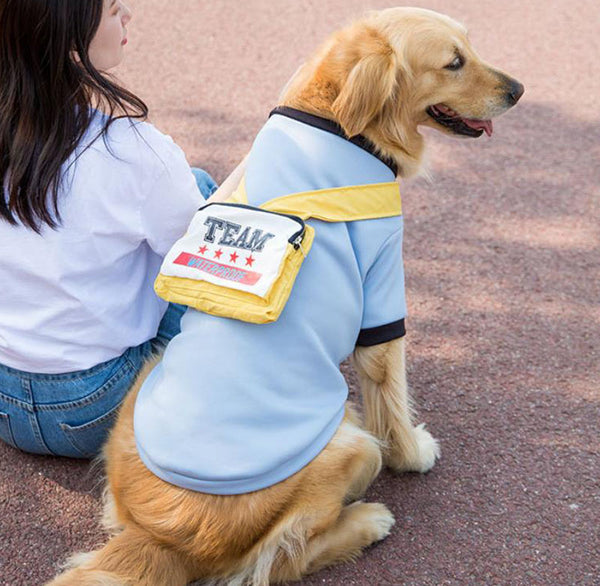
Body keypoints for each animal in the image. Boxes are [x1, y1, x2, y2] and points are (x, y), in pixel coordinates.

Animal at [49, 5, 524, 584]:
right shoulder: (384, 287)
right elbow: (391, 394)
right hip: (350, 442)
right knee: (281, 558)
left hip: (144, 382)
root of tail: (157, 538)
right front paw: (414, 454)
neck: (340, 124)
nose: (520, 90)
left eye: (470, 48)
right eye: (453, 63)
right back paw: (368, 521)